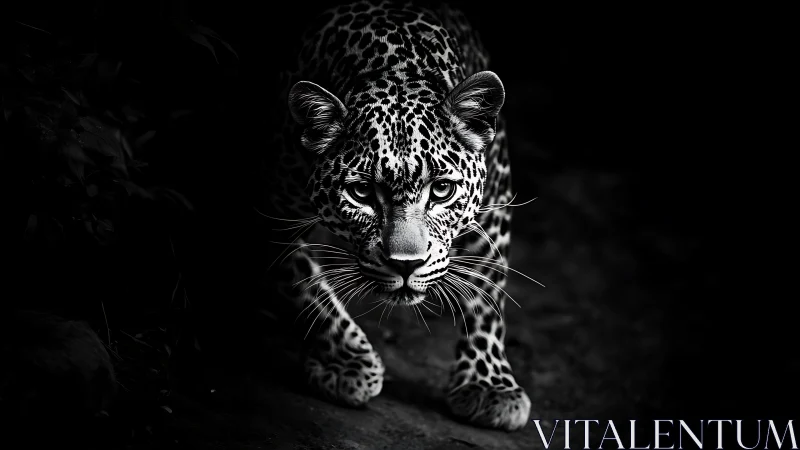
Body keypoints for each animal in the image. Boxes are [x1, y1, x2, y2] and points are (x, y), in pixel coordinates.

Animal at [262, 0, 531, 431]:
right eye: (361, 193)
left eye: (442, 190)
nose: (406, 265)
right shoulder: (273, 208)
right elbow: (303, 284)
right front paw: (347, 365)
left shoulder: (497, 197)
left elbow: (488, 291)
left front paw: (489, 385)